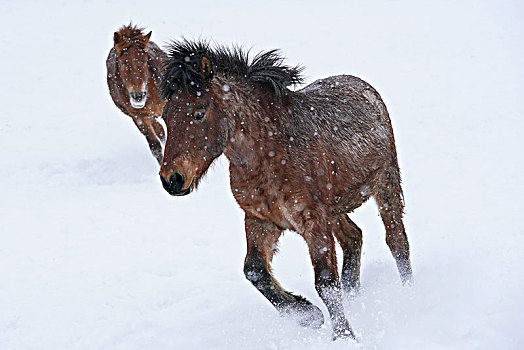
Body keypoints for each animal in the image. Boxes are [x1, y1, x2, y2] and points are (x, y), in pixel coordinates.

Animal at [158, 40, 412, 340]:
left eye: (199, 112)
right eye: (164, 115)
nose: (172, 179)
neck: (269, 153)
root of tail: (364, 87)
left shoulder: (313, 220)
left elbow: (326, 282)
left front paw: (343, 336)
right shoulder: (261, 219)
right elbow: (254, 271)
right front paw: (307, 314)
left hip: (385, 184)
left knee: (397, 242)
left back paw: (410, 295)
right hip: (335, 210)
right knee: (354, 238)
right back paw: (355, 299)